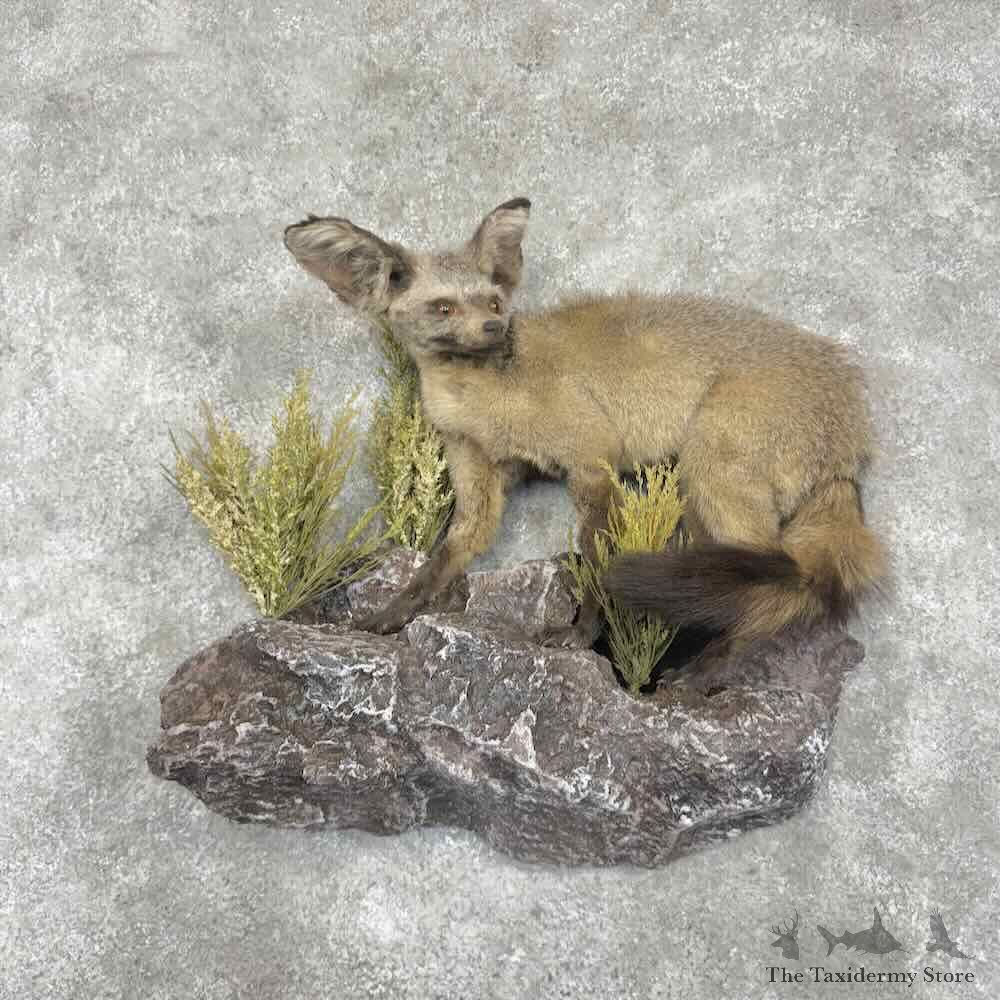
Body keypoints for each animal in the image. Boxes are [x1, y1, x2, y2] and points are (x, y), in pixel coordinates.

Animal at [283, 197, 887, 650]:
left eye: (494, 301)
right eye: (443, 308)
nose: (494, 328)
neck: (488, 405)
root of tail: (851, 425)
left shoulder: (592, 460)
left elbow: (598, 563)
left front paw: (581, 635)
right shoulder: (482, 477)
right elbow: (443, 559)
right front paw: (386, 616)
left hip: (713, 469)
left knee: (782, 577)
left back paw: (707, 671)